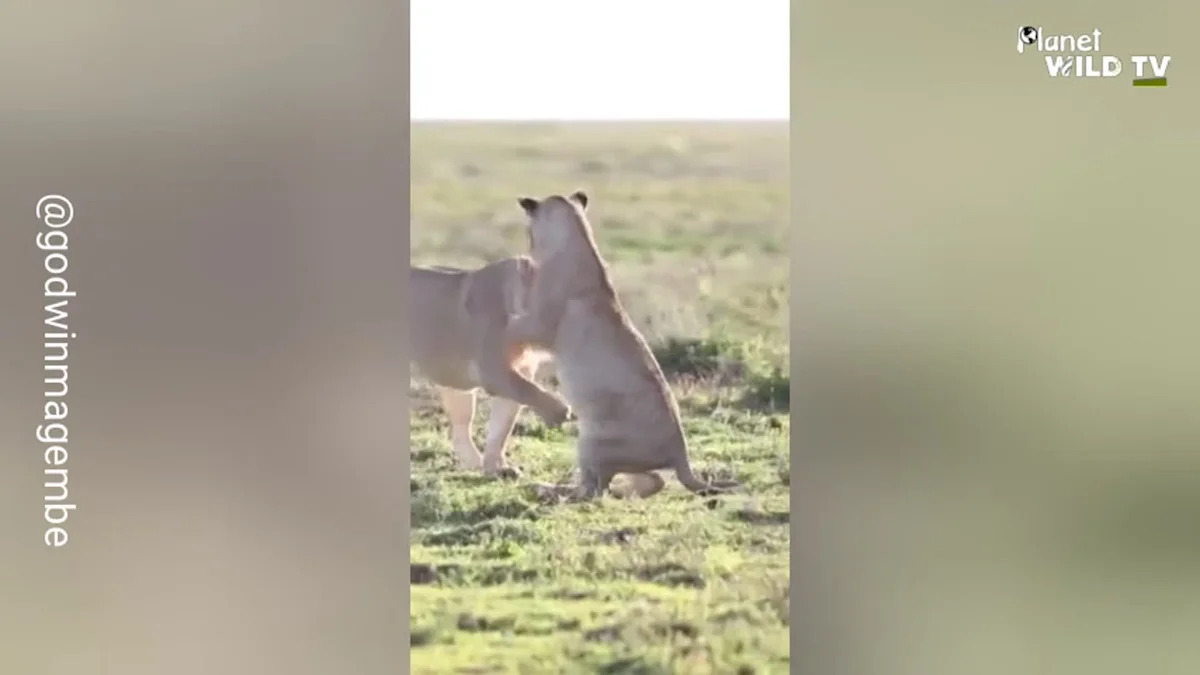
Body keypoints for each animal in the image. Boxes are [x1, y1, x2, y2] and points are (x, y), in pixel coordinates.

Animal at [410, 256, 569, 477]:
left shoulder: (521, 370)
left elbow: (502, 427)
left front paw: (497, 468)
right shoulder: (495, 372)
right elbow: (531, 391)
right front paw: (560, 412)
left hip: (456, 389)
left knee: (460, 431)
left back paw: (476, 463)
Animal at [504, 191, 739, 500]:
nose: (527, 245)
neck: (576, 233)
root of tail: (681, 456)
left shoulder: (539, 324)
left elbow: (515, 325)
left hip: (591, 442)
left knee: (592, 489)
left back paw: (548, 489)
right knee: (652, 480)